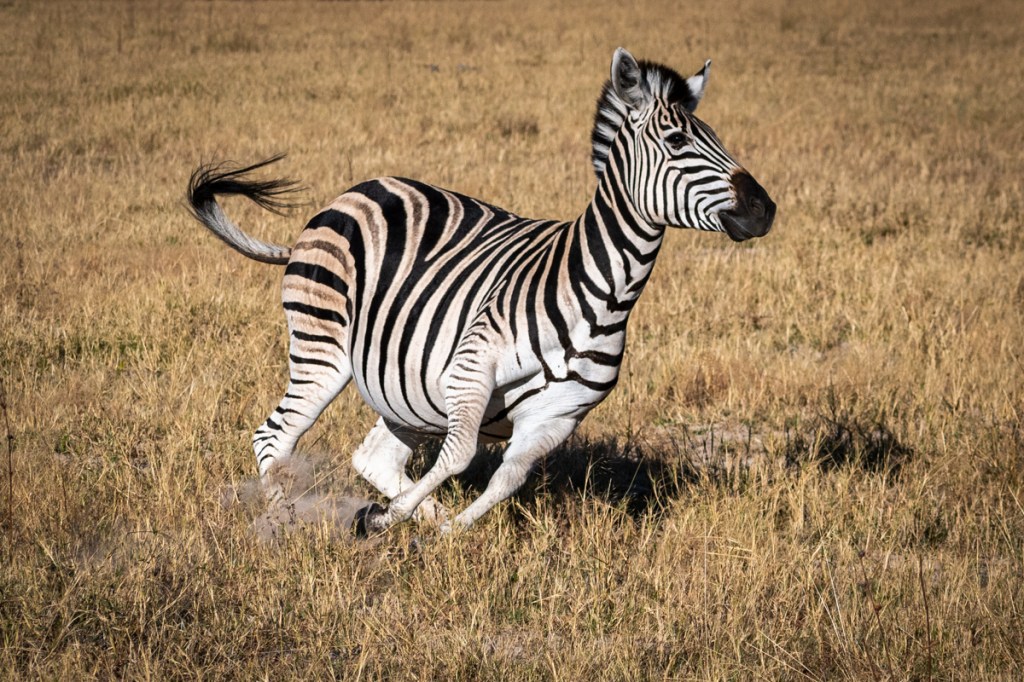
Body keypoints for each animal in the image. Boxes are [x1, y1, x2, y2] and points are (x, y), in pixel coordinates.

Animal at [187, 48, 775, 535]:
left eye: (719, 139)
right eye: (677, 142)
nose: (765, 209)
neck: (603, 298)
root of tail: (349, 194)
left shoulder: (557, 416)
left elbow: (504, 481)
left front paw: (430, 531)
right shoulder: (470, 371)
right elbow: (460, 455)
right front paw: (381, 521)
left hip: (404, 390)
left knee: (373, 457)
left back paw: (406, 520)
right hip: (323, 350)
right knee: (274, 437)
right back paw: (282, 524)